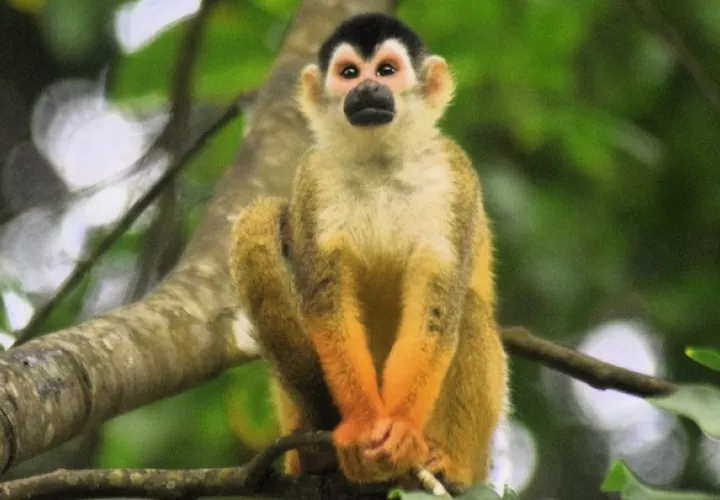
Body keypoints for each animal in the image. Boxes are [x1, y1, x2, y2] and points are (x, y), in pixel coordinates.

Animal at [229, 12, 509, 489]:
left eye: (386, 70)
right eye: (349, 73)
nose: (366, 89)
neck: (381, 161)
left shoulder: (454, 176)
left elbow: (439, 306)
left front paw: (399, 428)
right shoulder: (313, 178)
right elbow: (326, 303)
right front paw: (362, 426)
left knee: (468, 311)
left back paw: (447, 460)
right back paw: (313, 456)